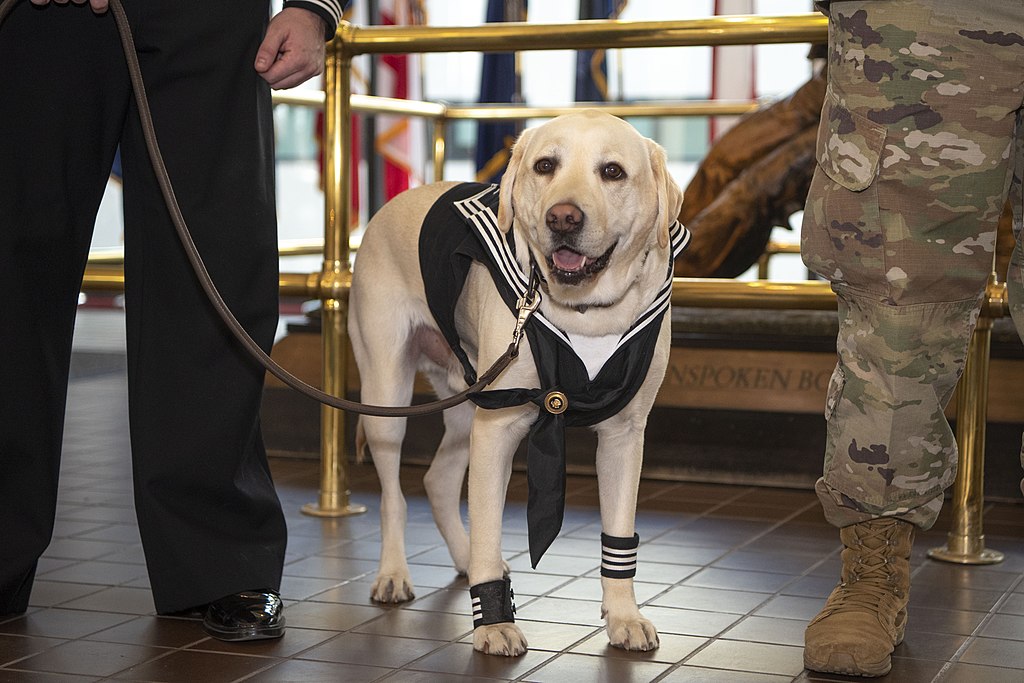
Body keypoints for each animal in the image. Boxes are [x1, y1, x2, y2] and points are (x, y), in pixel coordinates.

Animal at [348, 111, 692, 655]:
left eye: (613, 172)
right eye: (545, 165)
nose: (563, 218)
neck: (586, 312)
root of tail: (392, 205)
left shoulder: (623, 437)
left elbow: (618, 537)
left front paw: (623, 616)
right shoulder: (499, 428)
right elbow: (489, 528)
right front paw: (493, 624)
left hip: (467, 400)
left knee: (437, 481)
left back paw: (461, 559)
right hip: (388, 396)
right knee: (393, 497)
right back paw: (393, 573)